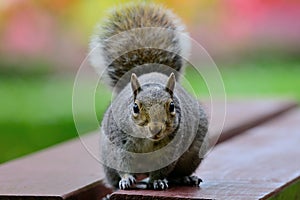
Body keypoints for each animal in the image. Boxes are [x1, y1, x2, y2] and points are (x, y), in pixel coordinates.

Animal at [88, 2, 209, 191]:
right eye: (135, 107)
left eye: (172, 106)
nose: (156, 129)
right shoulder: (119, 144)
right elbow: (122, 163)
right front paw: (126, 179)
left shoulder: (171, 150)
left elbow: (162, 169)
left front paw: (157, 181)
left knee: (176, 174)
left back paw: (185, 178)